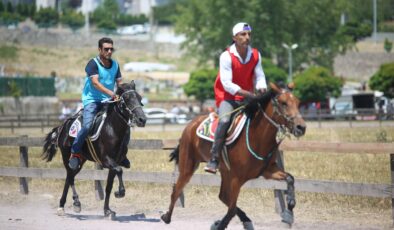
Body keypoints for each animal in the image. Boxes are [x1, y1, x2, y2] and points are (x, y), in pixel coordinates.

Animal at [42, 81, 146, 219]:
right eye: (127, 99)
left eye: (139, 98)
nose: (142, 119)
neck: (111, 129)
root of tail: (63, 126)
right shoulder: (107, 160)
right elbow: (119, 171)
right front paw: (120, 192)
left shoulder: (115, 163)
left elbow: (109, 186)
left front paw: (107, 210)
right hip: (67, 156)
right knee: (70, 177)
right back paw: (72, 203)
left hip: (81, 159)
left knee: (70, 177)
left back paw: (65, 204)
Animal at [162, 83, 306, 230]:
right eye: (283, 103)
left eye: (298, 102)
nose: (301, 127)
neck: (256, 137)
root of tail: (191, 124)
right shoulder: (236, 179)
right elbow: (231, 209)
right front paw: (220, 225)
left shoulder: (267, 171)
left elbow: (290, 179)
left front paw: (289, 212)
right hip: (188, 167)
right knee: (177, 190)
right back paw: (167, 217)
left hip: (225, 172)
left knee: (222, 196)